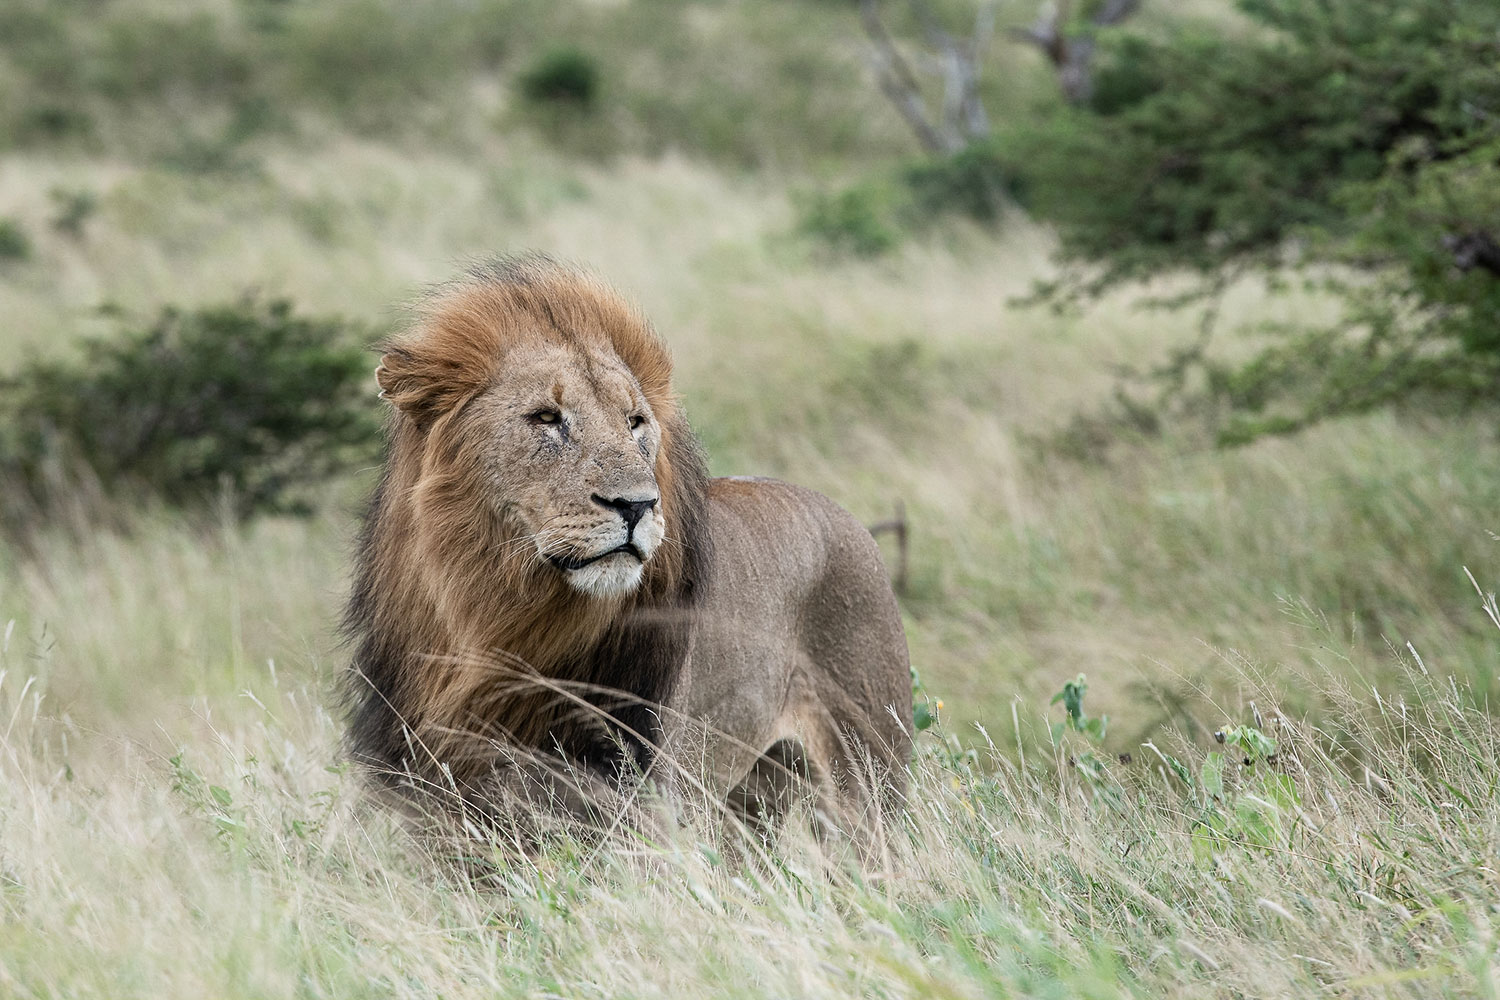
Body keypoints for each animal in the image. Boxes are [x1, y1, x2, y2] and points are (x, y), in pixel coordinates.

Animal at [343, 255, 911, 846]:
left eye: (634, 422)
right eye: (546, 418)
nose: (637, 505)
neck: (492, 622)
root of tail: (849, 519)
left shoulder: (643, 806)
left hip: (868, 778)